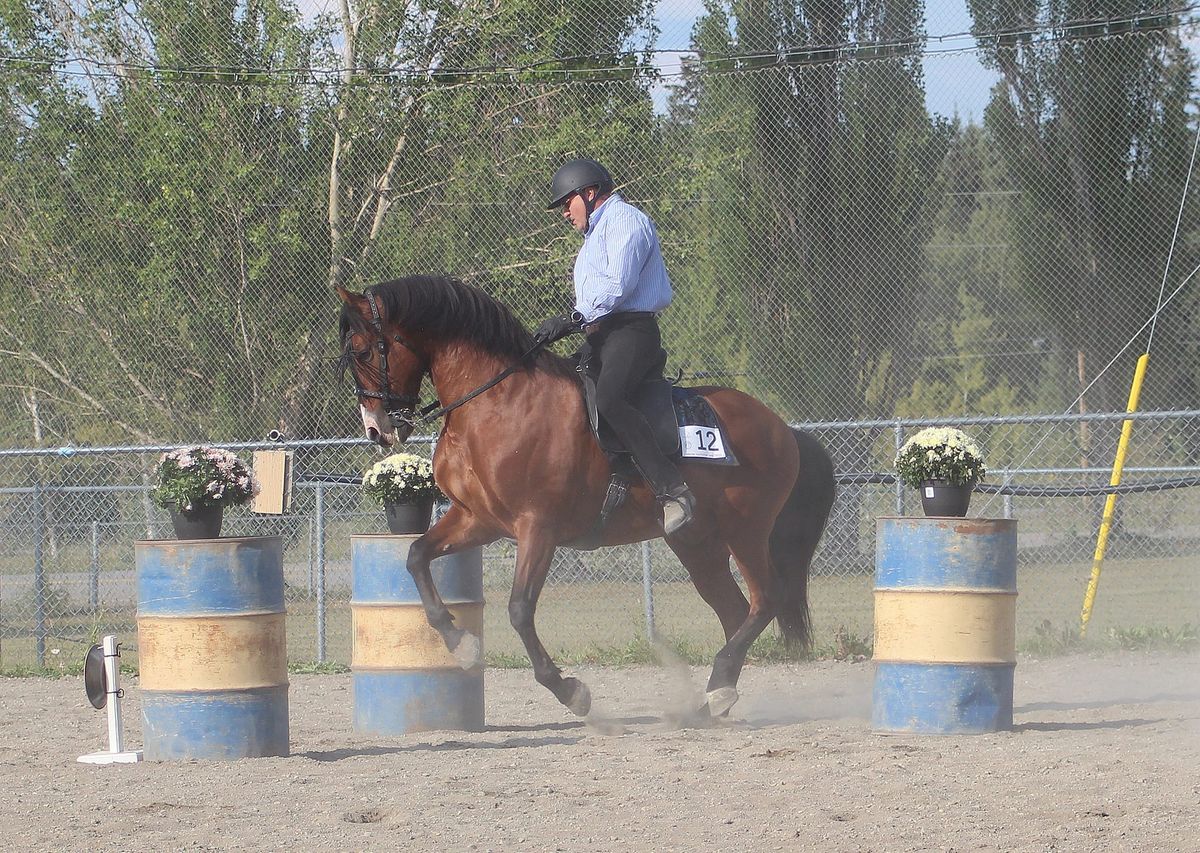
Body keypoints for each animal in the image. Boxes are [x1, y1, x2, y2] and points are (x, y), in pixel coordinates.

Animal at [338, 277, 835, 715]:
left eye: (362, 352)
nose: (376, 429)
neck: (496, 404)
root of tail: (781, 427)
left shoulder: (537, 528)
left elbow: (520, 610)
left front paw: (569, 690)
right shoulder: (477, 520)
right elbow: (416, 557)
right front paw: (461, 644)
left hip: (746, 531)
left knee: (766, 599)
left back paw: (718, 687)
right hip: (697, 543)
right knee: (734, 610)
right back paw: (717, 694)